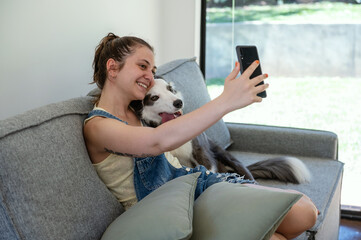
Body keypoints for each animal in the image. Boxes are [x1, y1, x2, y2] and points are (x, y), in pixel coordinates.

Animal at [131, 78, 310, 183]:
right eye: (154, 97)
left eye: (170, 89)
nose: (178, 102)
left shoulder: (201, 152)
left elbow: (207, 167)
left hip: (228, 158)